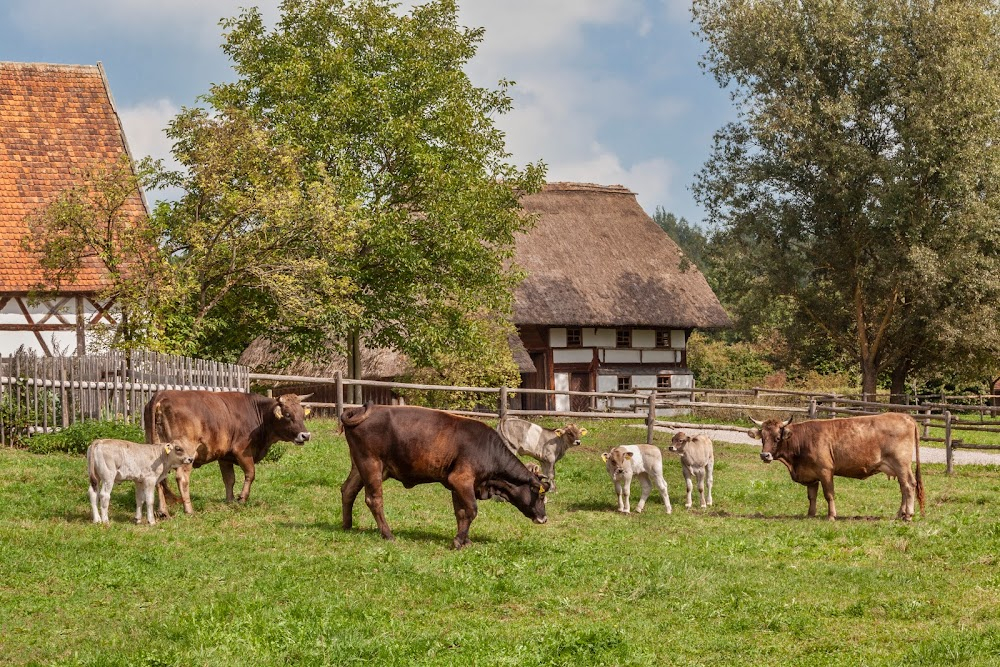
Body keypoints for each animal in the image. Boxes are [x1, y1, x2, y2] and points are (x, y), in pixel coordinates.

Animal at [143, 392, 310, 516]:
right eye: (287, 414)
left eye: (302, 414)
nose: (306, 435)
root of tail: (162, 395)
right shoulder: (242, 451)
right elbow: (250, 474)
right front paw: (242, 498)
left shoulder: (224, 456)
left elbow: (229, 479)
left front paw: (230, 500)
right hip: (187, 452)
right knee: (182, 478)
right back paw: (189, 510)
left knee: (159, 480)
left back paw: (163, 511)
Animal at [340, 402, 552, 548]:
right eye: (541, 496)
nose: (544, 518)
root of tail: (360, 411)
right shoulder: (461, 480)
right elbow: (472, 510)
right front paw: (458, 541)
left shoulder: (456, 486)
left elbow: (461, 512)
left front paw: (465, 540)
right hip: (371, 465)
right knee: (374, 500)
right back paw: (388, 535)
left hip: (360, 467)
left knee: (347, 490)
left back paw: (347, 526)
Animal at [748, 412, 924, 520]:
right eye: (762, 437)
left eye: (777, 438)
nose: (765, 455)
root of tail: (905, 416)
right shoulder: (811, 475)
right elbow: (812, 496)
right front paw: (810, 514)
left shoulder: (825, 470)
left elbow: (829, 494)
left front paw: (831, 516)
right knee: (903, 488)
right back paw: (900, 514)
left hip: (901, 464)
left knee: (909, 486)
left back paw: (908, 515)